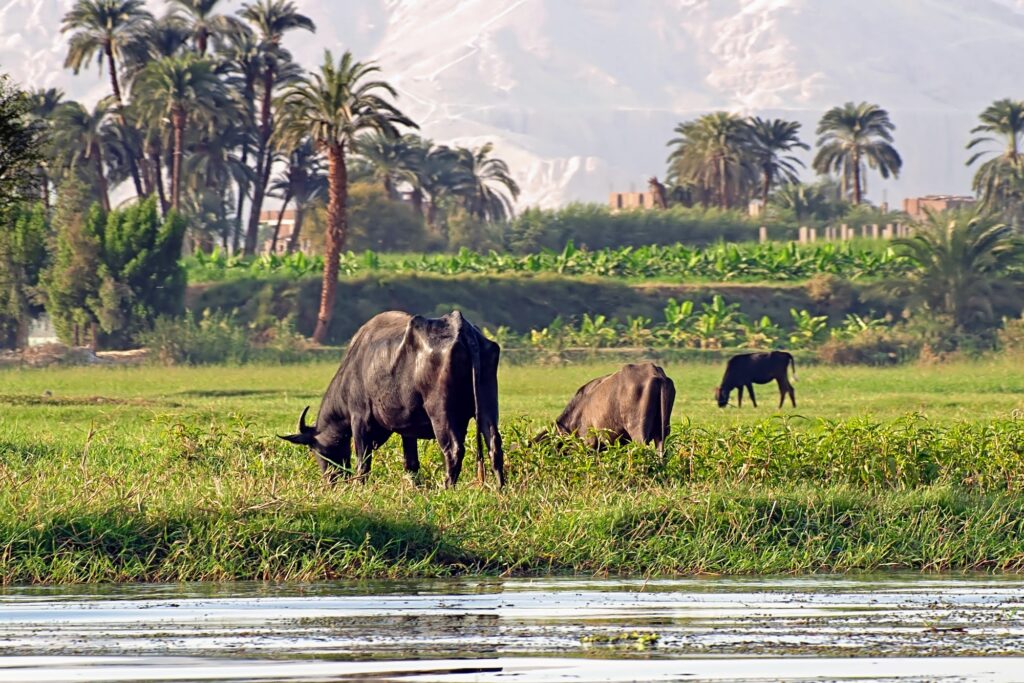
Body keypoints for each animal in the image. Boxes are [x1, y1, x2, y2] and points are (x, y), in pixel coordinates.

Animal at [279, 310, 504, 488]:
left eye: (315, 449)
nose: (330, 480)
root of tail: (462, 328)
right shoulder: (408, 429)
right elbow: (411, 463)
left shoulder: (359, 419)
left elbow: (362, 461)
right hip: (487, 406)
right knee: (494, 444)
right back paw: (500, 488)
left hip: (441, 412)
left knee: (453, 450)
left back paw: (447, 487)